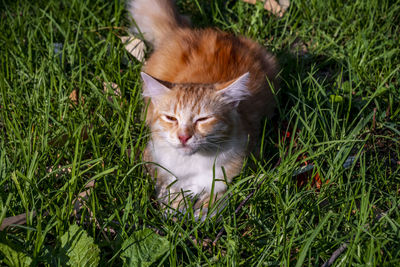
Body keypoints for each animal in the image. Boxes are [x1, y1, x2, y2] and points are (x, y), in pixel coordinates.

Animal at [128, 0, 278, 220]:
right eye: (171, 118)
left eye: (202, 119)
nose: (183, 137)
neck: (193, 164)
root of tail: (182, 31)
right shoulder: (151, 158)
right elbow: (168, 186)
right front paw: (175, 204)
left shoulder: (246, 159)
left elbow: (221, 193)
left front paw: (204, 209)